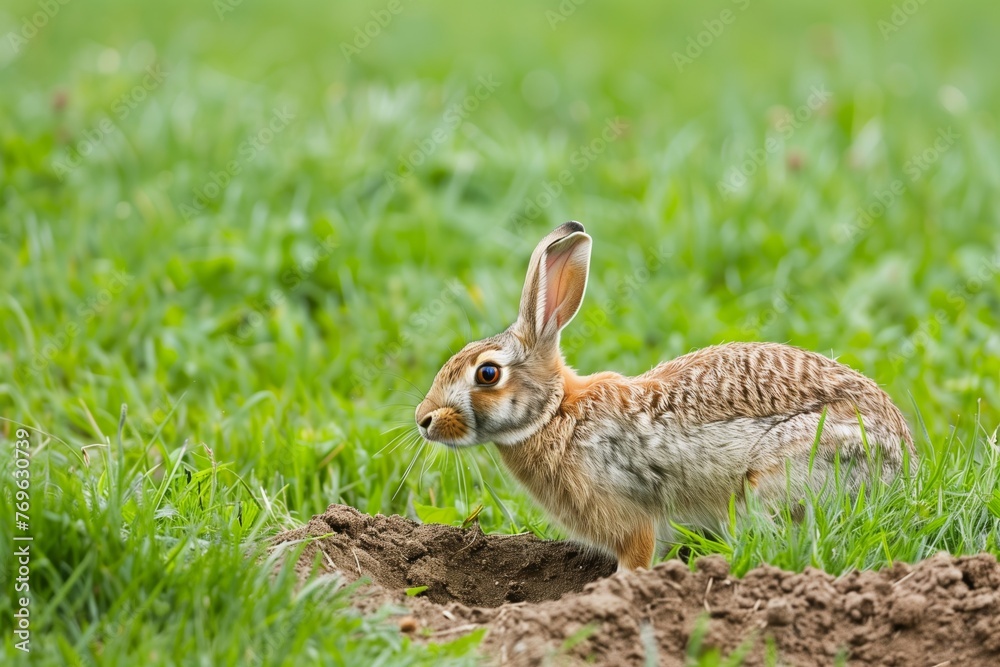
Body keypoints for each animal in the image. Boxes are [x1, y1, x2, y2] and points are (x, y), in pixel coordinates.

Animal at [415, 222, 915, 570]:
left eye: (487, 374)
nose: (423, 419)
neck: (556, 413)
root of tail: (902, 465)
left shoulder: (630, 519)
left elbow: (637, 556)